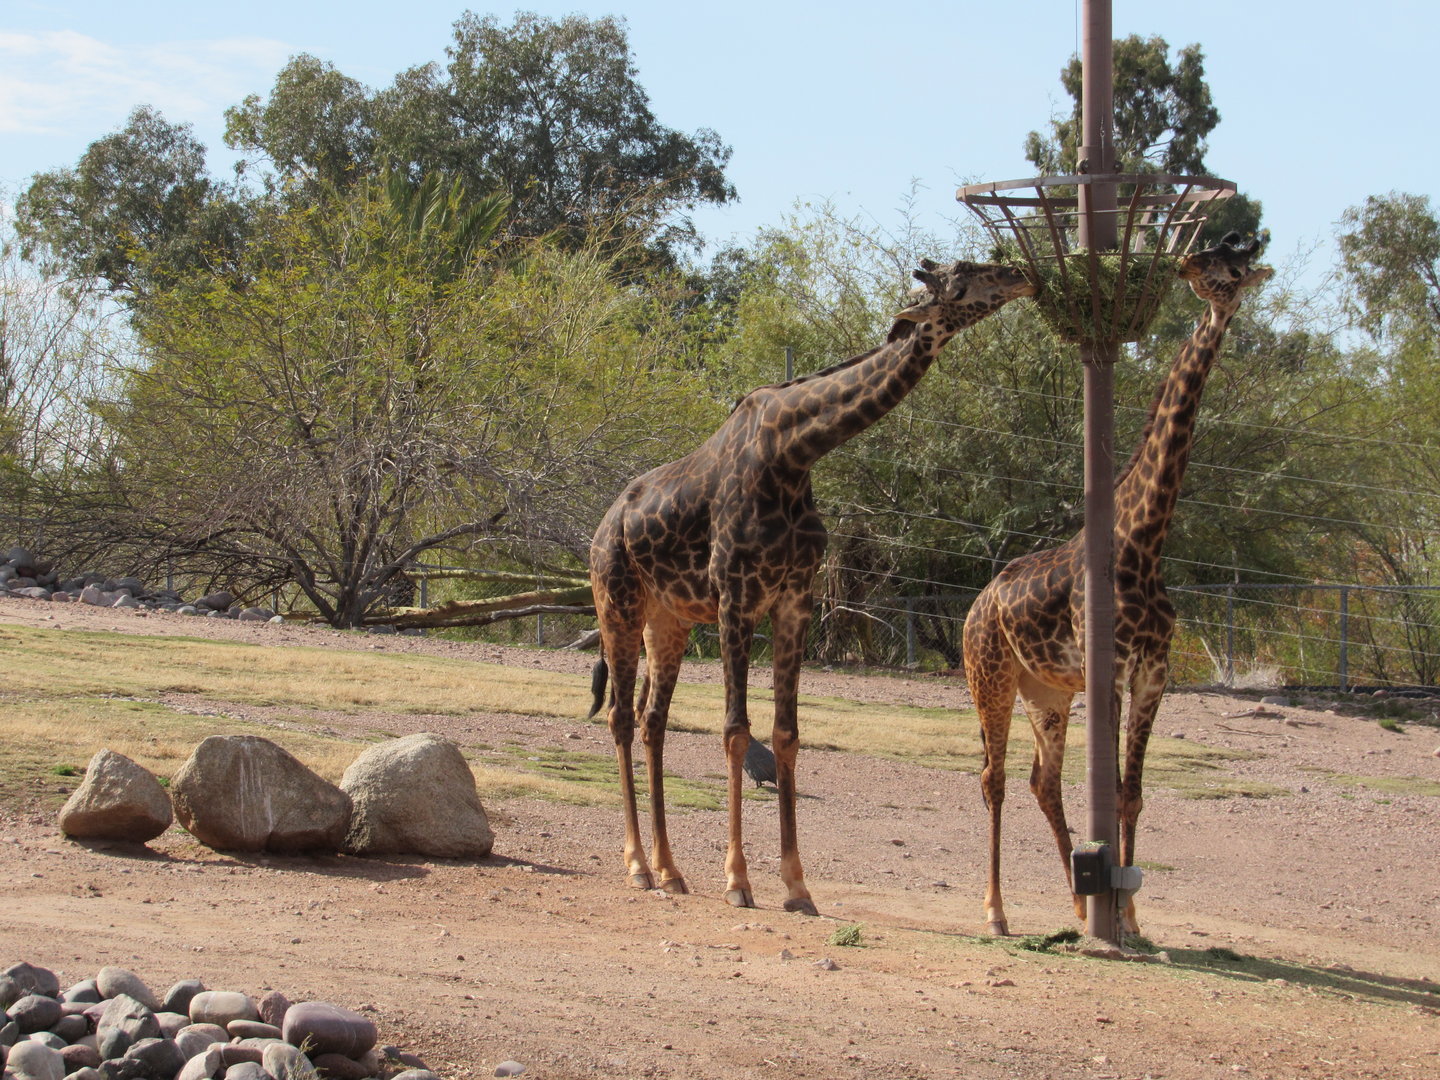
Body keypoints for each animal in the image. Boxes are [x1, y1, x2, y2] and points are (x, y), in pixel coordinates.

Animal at [589, 258, 1034, 914]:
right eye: (963, 277)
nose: (1023, 274)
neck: (795, 452)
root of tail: (602, 527)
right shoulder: (737, 598)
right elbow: (735, 730)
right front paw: (739, 881)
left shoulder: (794, 601)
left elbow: (787, 734)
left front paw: (798, 887)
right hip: (616, 603)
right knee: (621, 717)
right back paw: (639, 868)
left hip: (667, 621)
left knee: (652, 721)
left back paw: (672, 871)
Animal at [961, 232, 1272, 936]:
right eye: (1214, 259)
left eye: (1235, 259)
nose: (1196, 267)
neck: (1143, 541)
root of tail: (975, 606)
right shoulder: (1112, 665)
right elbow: (1109, 786)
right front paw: (1117, 914)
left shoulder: (1154, 671)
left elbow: (1132, 791)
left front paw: (1128, 919)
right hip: (990, 676)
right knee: (993, 777)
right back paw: (995, 912)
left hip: (1046, 691)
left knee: (1040, 781)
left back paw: (1079, 906)